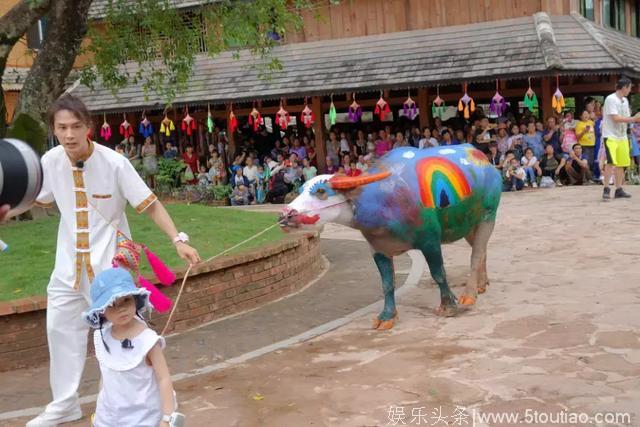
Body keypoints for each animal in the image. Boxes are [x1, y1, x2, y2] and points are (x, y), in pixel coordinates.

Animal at [282, 145, 502, 332]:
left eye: (321, 192)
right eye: (300, 191)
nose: (286, 214)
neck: (383, 200)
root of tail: (484, 160)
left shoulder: (430, 241)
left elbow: (439, 274)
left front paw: (449, 306)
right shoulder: (378, 250)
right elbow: (387, 284)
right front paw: (387, 316)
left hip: (487, 217)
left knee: (476, 254)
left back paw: (469, 295)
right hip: (469, 224)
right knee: (481, 251)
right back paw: (482, 284)